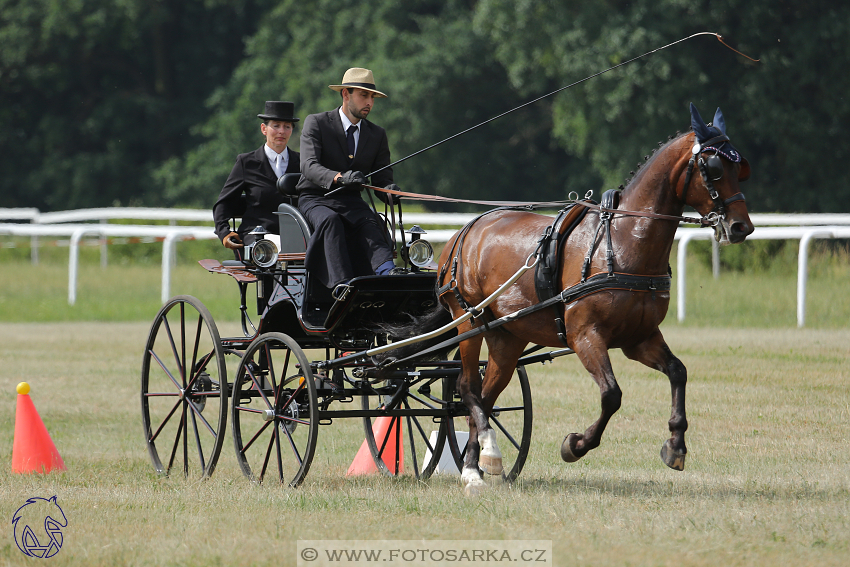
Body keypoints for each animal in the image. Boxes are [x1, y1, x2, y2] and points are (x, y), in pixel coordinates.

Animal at [438, 104, 748, 494]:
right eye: (716, 168)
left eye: (742, 168)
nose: (742, 227)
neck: (624, 242)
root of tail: (464, 232)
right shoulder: (586, 336)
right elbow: (611, 395)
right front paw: (575, 445)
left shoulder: (639, 338)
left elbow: (678, 372)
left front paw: (675, 445)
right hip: (470, 320)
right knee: (468, 387)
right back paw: (480, 463)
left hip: (507, 337)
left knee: (485, 395)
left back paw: (477, 463)